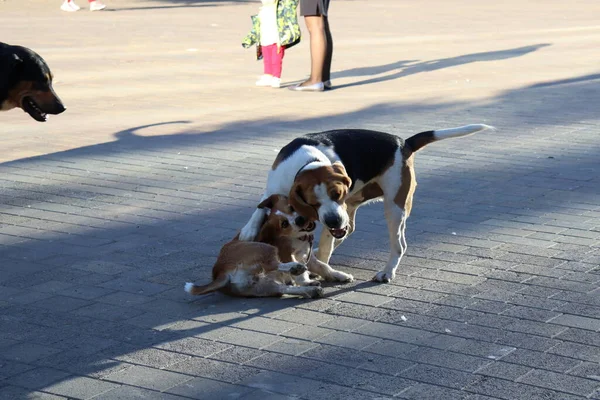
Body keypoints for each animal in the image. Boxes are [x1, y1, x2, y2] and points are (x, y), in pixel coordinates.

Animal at [185, 195, 350, 298]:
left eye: (292, 207)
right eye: (284, 224)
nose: (299, 219)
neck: (299, 237)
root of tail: (219, 272)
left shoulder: (307, 256)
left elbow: (323, 267)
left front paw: (339, 275)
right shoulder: (287, 253)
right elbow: (302, 273)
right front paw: (306, 278)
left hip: (264, 286)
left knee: (283, 288)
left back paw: (311, 290)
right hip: (264, 248)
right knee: (272, 265)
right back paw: (297, 270)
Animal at [237, 123, 494, 282]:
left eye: (337, 194)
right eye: (312, 203)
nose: (333, 220)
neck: (308, 163)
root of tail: (403, 142)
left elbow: (326, 246)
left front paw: (323, 267)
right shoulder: (274, 188)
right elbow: (261, 207)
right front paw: (249, 230)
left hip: (394, 207)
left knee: (397, 245)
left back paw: (386, 272)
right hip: (357, 208)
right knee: (348, 231)